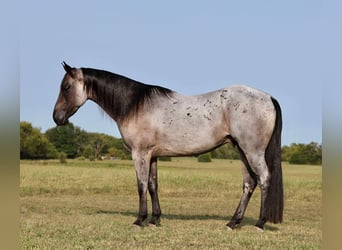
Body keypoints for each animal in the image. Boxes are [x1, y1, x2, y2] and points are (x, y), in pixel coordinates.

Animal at [52, 62, 284, 230]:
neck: (135, 105)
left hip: (252, 151)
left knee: (264, 179)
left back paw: (259, 223)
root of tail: (268, 97)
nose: (57, 118)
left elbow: (141, 185)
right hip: (242, 151)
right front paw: (155, 219)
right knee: (249, 183)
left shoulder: (140, 154)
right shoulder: (152, 155)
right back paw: (233, 222)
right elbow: (153, 185)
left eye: (66, 87)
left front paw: (139, 220)